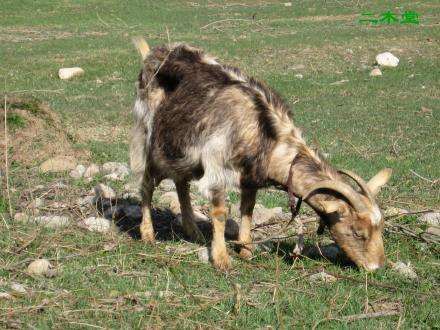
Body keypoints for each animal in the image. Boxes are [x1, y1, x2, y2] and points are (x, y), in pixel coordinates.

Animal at [131, 38, 392, 270]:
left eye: (380, 229)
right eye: (358, 233)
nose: (376, 267)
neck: (264, 132)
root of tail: (154, 53)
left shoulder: (250, 176)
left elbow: (248, 209)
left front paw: (246, 250)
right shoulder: (216, 166)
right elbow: (220, 212)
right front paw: (222, 259)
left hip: (181, 153)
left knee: (181, 183)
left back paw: (192, 231)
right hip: (148, 138)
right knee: (146, 183)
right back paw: (148, 234)